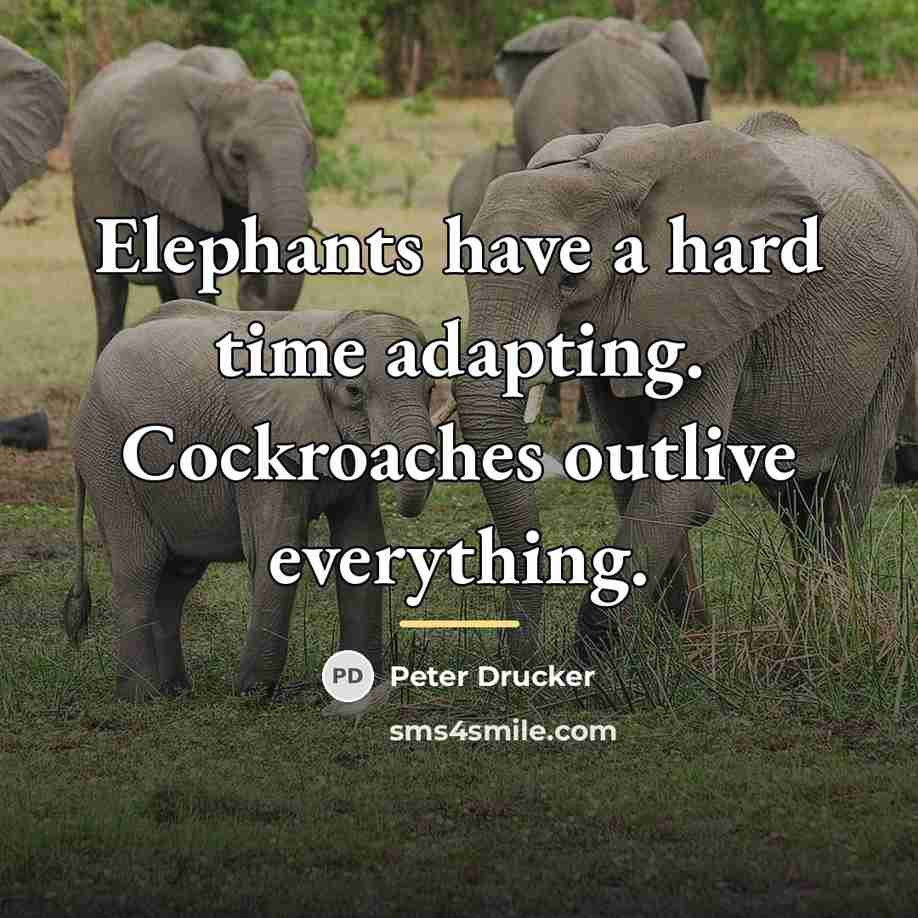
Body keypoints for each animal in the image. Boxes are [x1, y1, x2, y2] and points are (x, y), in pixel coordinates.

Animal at [62, 299, 444, 703]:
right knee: (140, 566)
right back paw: (142, 697)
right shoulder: (258, 443)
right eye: (353, 392)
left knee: (176, 578)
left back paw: (175, 690)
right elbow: (276, 546)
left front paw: (361, 690)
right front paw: (252, 693)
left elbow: (362, 544)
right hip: (106, 458)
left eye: (430, 388)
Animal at [70, 42, 318, 358]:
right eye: (238, 156)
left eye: (309, 153)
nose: (253, 283)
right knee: (109, 293)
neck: (227, 84)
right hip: (82, 194)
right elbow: (193, 275)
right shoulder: (172, 175)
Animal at [452, 112, 918, 662]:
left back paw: (829, 636)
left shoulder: (719, 306)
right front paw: (684, 646)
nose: (520, 660)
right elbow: (631, 470)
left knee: (843, 493)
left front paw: (595, 663)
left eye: (569, 279)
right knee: (797, 502)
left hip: (896, 337)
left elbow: (675, 479)